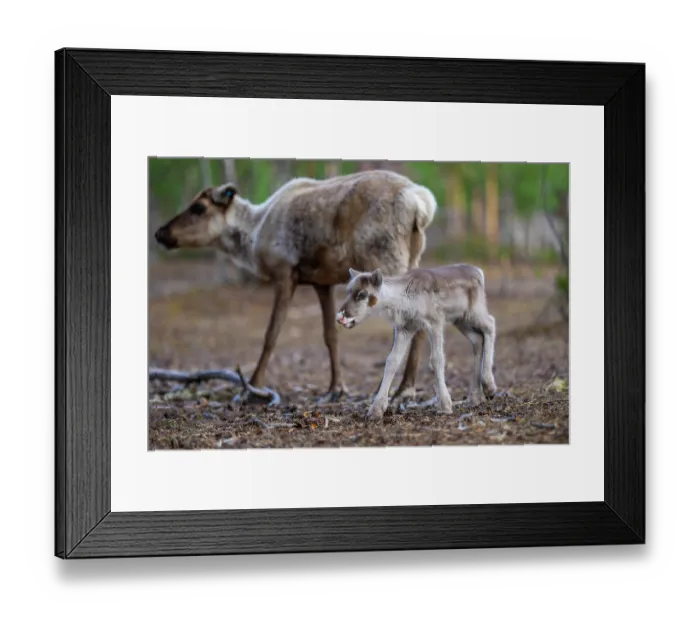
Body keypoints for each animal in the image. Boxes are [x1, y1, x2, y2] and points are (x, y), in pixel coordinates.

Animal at [154, 169, 437, 404]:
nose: (160, 233)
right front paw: (335, 389)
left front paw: (252, 388)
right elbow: (330, 335)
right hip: (413, 257)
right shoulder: (322, 282)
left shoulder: (284, 272)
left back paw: (398, 390)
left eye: (198, 207)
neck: (255, 234)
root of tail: (421, 205)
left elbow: (272, 333)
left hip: (386, 261)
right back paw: (403, 389)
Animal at [336, 263, 497, 420]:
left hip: (474, 311)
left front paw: (445, 405)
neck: (402, 299)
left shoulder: (435, 322)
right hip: (460, 320)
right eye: (348, 291)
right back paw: (475, 397)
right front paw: (375, 411)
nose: (340, 317)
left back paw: (489, 386)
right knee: (477, 339)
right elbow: (392, 361)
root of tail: (479, 271)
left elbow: (437, 359)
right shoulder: (405, 328)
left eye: (362, 294)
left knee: (490, 324)